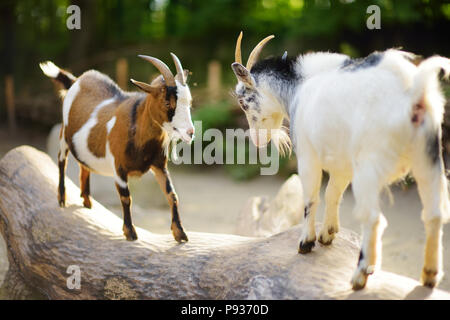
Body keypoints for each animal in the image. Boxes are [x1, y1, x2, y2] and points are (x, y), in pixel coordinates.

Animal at [41, 54, 195, 242]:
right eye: (167, 102)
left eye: (189, 102)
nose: (190, 133)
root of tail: (76, 80)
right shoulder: (119, 167)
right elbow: (126, 197)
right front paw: (130, 232)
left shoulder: (159, 165)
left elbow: (172, 195)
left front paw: (180, 233)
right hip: (64, 133)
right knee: (62, 160)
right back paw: (62, 198)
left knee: (84, 165)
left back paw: (87, 201)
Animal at [232, 32, 450, 290]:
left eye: (243, 102)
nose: (256, 140)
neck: (299, 87)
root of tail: (413, 91)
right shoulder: (342, 165)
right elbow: (333, 194)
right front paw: (328, 234)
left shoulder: (307, 155)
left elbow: (311, 198)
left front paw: (306, 242)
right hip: (428, 157)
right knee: (434, 214)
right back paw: (429, 275)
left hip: (369, 167)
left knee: (373, 218)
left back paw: (360, 275)